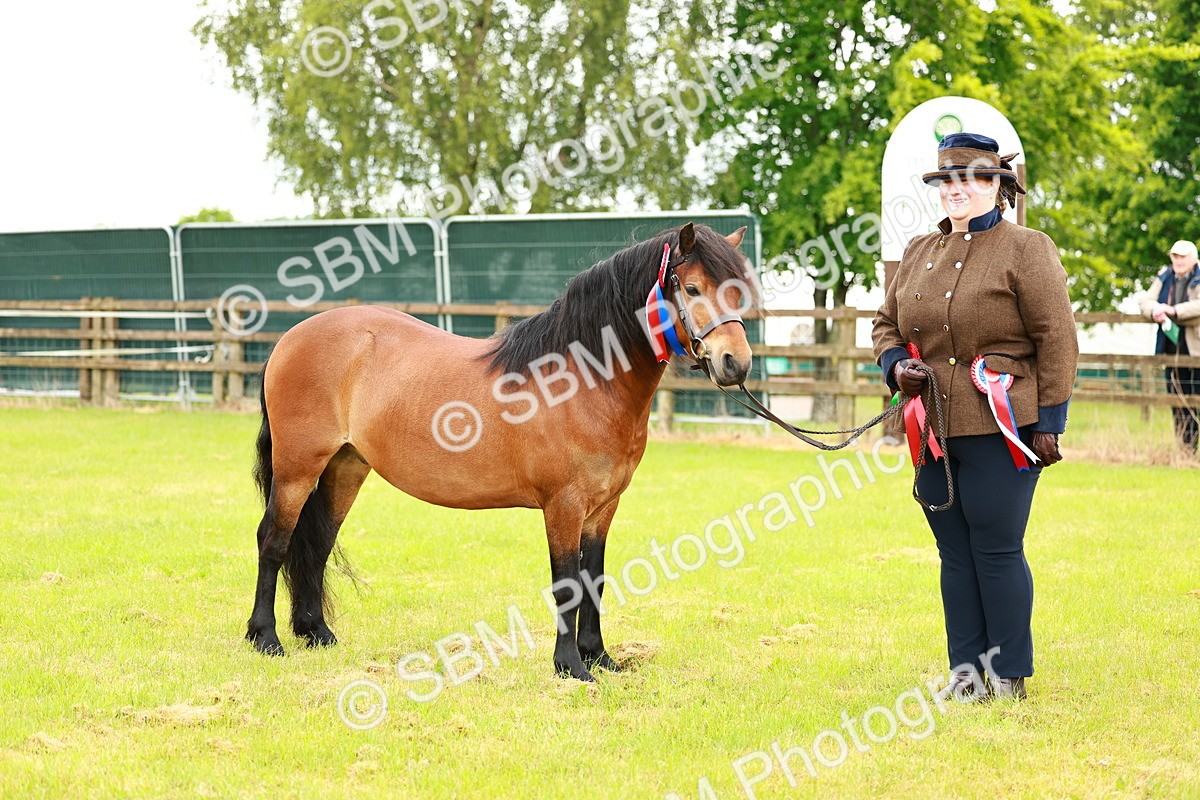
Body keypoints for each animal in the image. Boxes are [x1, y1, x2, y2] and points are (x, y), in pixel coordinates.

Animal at [245, 221, 757, 682]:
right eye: (691, 288)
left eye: (737, 295)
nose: (736, 363)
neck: (582, 382)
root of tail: (289, 339)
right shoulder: (564, 506)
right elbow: (568, 584)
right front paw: (571, 668)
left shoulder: (603, 508)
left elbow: (595, 580)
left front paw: (600, 658)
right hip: (297, 470)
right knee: (273, 541)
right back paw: (265, 638)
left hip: (344, 468)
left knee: (316, 544)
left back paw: (316, 633)